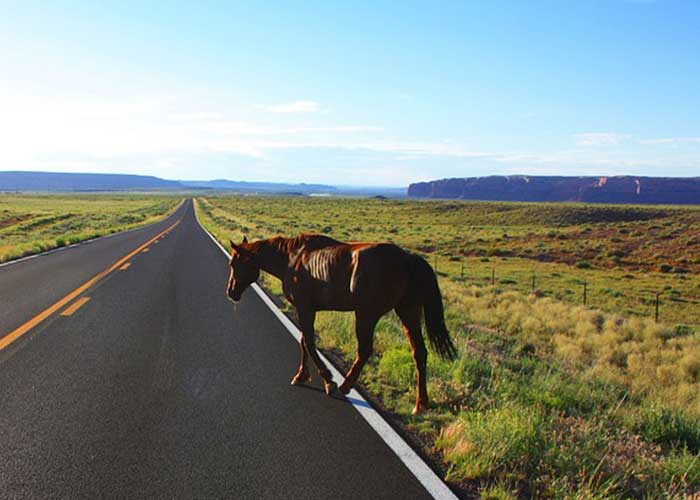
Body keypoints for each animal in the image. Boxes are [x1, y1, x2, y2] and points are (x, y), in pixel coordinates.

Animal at [227, 234, 456, 414]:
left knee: (365, 351)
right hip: (408, 312)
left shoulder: (305, 308)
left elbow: (309, 342)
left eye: (235, 264)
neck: (292, 259)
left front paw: (328, 379)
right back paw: (420, 404)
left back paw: (344, 386)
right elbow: (303, 341)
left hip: (366, 315)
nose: (231, 292)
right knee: (419, 352)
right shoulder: (307, 309)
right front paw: (301, 375)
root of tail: (407, 259)